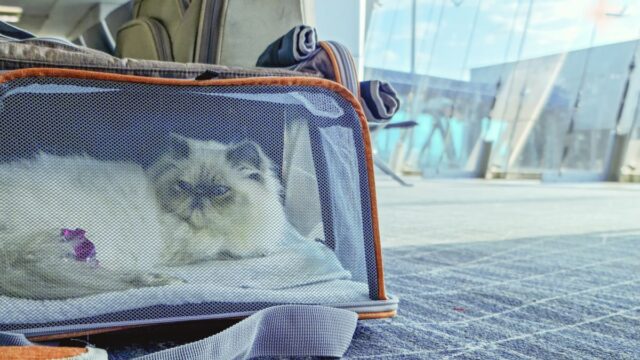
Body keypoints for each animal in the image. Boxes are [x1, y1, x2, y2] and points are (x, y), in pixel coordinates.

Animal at [0, 134, 288, 300]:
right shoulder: (192, 248)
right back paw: (165, 280)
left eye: (219, 191)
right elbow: (225, 251)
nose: (197, 196)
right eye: (184, 186)